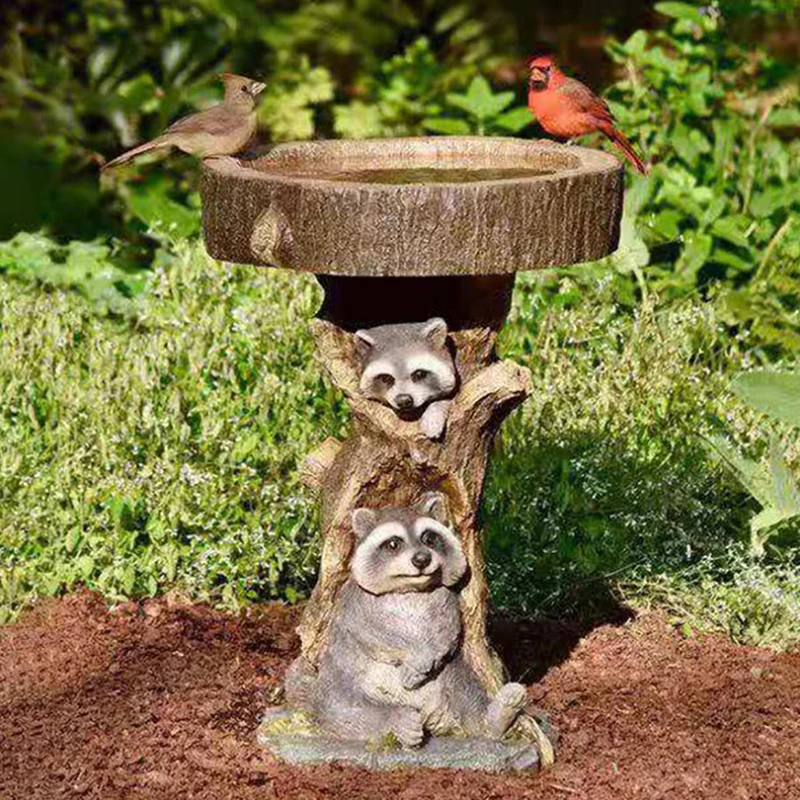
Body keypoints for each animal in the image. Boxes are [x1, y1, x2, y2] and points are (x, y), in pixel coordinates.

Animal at [285, 493, 526, 747]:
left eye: (429, 538)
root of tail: (430, 717)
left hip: (453, 675)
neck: (409, 588)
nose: (422, 559)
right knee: (345, 708)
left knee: (465, 686)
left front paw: (423, 657)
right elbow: (372, 632)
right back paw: (396, 721)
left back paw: (493, 719)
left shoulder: (445, 597)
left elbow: (447, 629)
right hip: (335, 683)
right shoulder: (355, 600)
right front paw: (413, 653)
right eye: (393, 544)